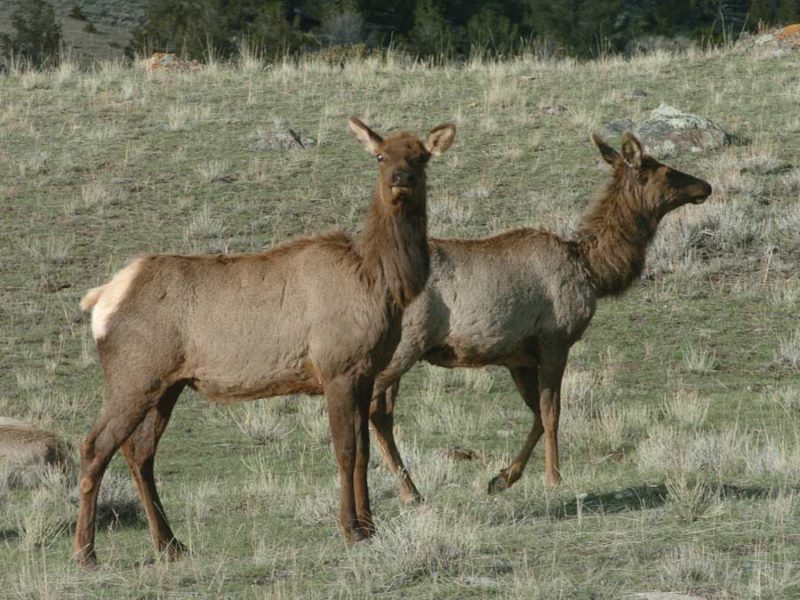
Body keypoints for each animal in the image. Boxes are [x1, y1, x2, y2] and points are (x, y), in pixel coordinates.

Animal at [72, 117, 456, 568]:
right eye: (381, 155)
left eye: (421, 156)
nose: (401, 179)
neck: (382, 283)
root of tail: (101, 299)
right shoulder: (337, 368)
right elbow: (345, 450)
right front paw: (351, 530)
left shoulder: (365, 372)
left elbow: (363, 450)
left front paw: (371, 525)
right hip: (133, 375)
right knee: (95, 446)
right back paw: (85, 551)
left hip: (167, 385)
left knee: (140, 452)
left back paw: (170, 543)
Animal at [368, 131, 712, 502]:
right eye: (665, 170)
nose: (705, 186)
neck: (593, 270)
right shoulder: (555, 339)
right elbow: (552, 412)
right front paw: (552, 477)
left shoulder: (517, 357)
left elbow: (535, 413)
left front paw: (502, 477)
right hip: (405, 345)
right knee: (369, 408)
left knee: (380, 415)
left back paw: (410, 491)